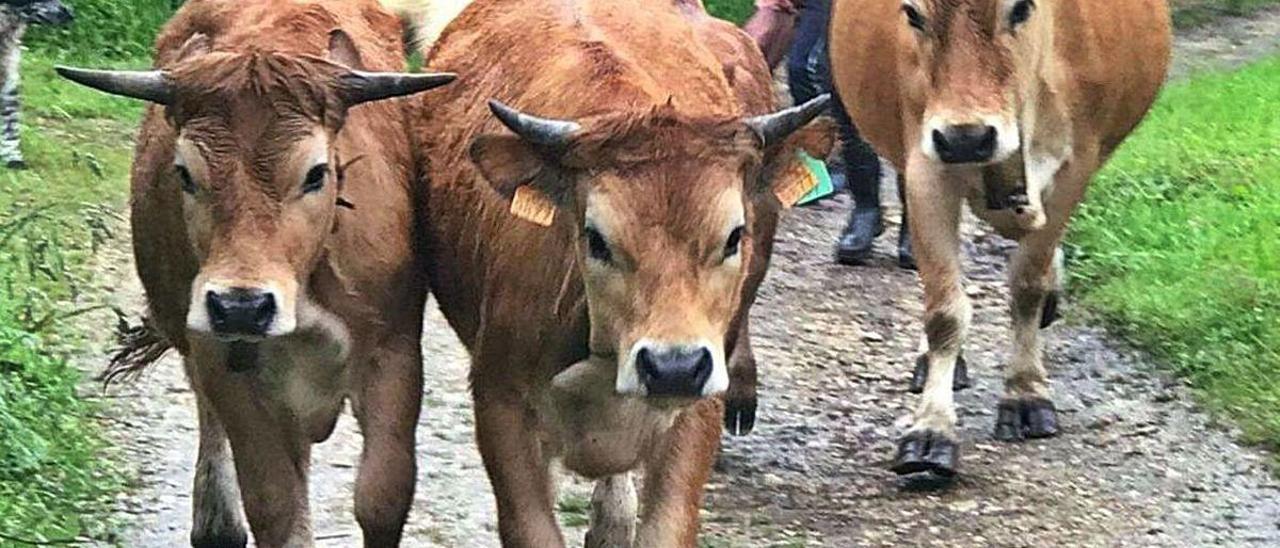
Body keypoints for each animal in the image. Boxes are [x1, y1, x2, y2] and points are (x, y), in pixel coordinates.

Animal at [57, 0, 453, 542]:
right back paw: (216, 522)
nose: (241, 306)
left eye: (316, 173)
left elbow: (381, 499)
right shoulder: (227, 367)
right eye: (184, 173)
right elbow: (275, 507)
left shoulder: (393, 355)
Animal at [829, 0, 1172, 476]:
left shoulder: (1075, 168)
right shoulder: (925, 166)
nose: (965, 138)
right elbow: (944, 311)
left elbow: (1028, 283)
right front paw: (931, 430)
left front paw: (1025, 394)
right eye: (912, 13)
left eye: (1022, 7)